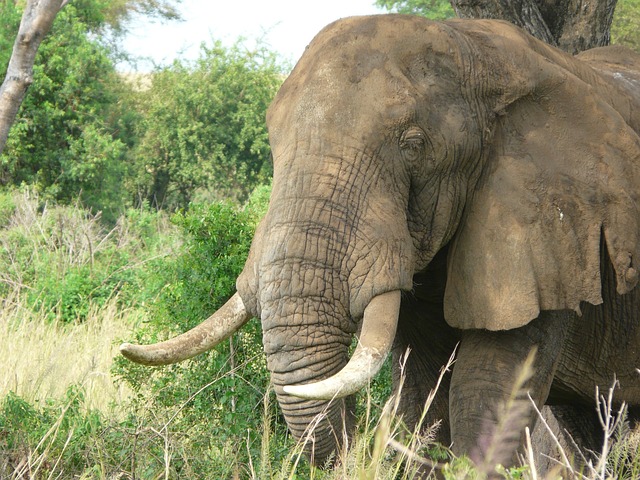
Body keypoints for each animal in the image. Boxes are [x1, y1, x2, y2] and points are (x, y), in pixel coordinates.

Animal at [120, 14, 640, 470]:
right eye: (273, 142)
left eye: (412, 145)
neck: (476, 49)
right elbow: (425, 392)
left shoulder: (552, 228)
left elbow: (484, 392)